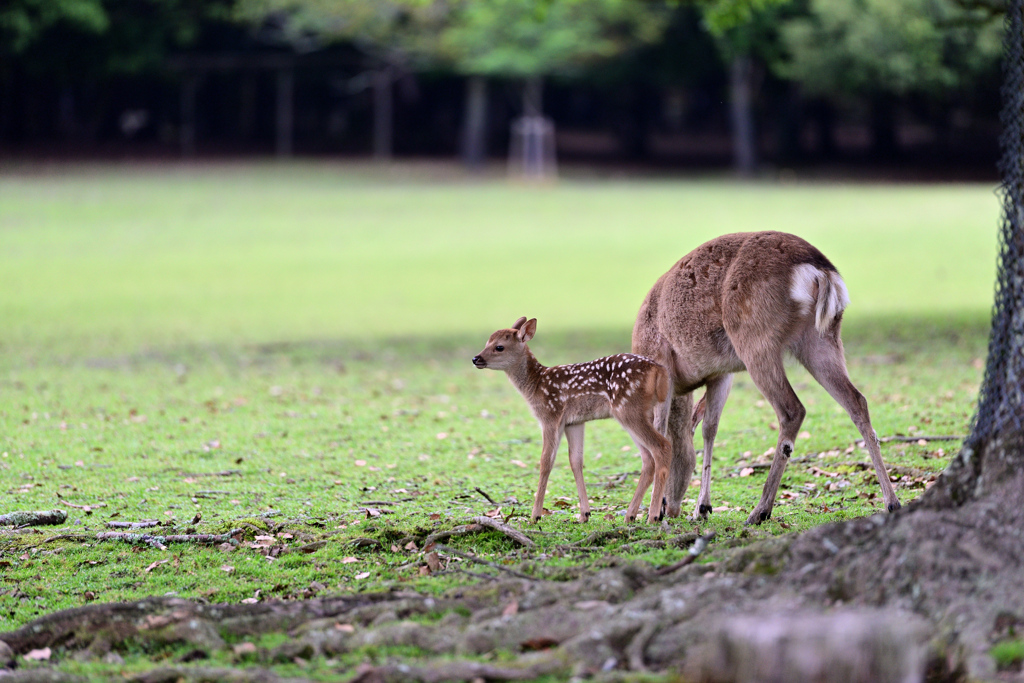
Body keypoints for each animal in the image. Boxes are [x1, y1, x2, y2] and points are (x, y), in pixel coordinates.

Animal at [475, 319, 675, 524]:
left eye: (499, 347)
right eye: (487, 342)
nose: (476, 359)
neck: (536, 385)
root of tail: (659, 371)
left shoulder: (550, 415)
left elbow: (546, 461)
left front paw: (535, 515)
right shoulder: (574, 422)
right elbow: (576, 460)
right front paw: (584, 514)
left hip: (628, 409)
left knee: (662, 446)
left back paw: (652, 516)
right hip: (641, 412)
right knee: (648, 458)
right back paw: (630, 515)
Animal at [634, 232, 901, 528]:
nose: (670, 507)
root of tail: (820, 271)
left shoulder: (662, 364)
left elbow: (663, 428)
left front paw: (655, 513)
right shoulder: (721, 373)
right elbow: (709, 428)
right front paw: (702, 507)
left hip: (755, 339)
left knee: (792, 409)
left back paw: (760, 510)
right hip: (821, 338)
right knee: (857, 401)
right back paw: (892, 502)